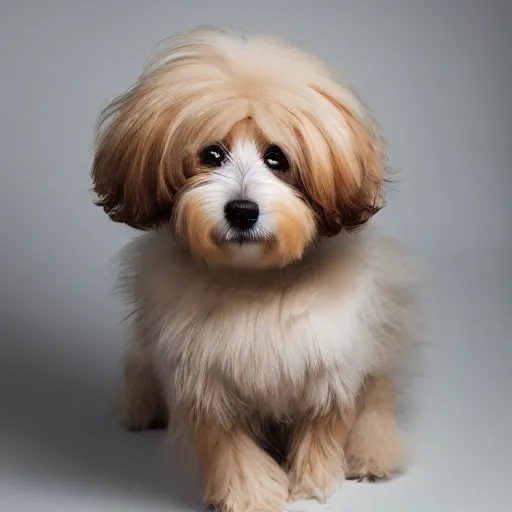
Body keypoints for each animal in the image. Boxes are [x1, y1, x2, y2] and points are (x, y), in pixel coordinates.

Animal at [92, 29, 418, 512]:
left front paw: (314, 481)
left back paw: (373, 452)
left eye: (277, 159)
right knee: (140, 363)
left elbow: (325, 422)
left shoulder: (329, 360)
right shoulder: (204, 377)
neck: (255, 279)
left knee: (378, 393)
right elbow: (228, 441)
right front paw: (249, 492)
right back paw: (141, 408)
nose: (243, 211)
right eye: (211, 154)